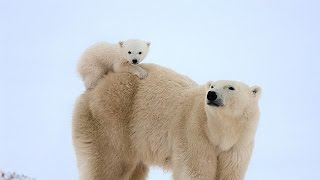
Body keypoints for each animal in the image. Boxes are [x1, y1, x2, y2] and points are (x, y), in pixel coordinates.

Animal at [73, 63, 262, 180]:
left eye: (231, 87)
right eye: (212, 86)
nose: (211, 95)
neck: (218, 132)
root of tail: (100, 81)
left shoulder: (237, 146)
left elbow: (229, 173)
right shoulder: (194, 134)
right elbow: (195, 171)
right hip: (110, 123)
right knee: (109, 165)